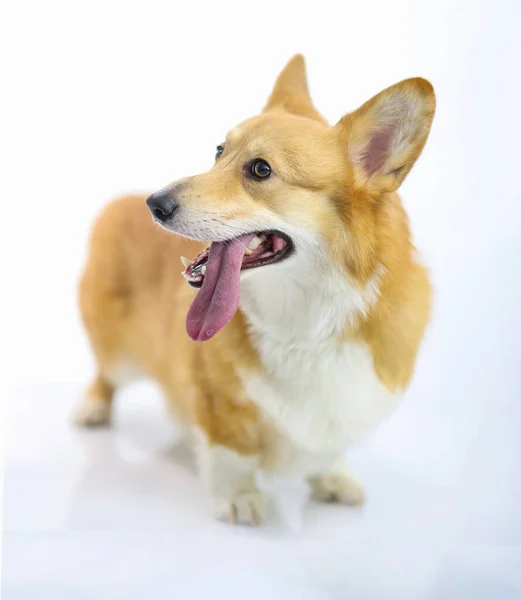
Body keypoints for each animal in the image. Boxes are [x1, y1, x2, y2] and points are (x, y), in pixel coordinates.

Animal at [75, 56, 432, 524]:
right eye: (218, 151)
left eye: (261, 169)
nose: (154, 203)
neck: (308, 319)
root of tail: (121, 201)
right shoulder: (219, 398)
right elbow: (233, 451)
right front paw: (239, 497)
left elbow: (328, 447)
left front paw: (332, 477)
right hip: (119, 351)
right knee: (105, 373)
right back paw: (93, 407)